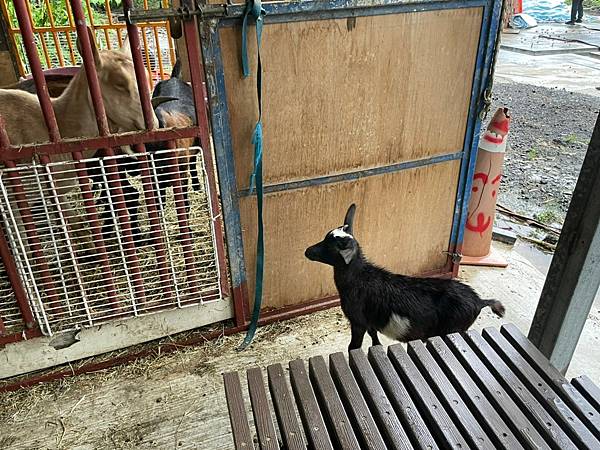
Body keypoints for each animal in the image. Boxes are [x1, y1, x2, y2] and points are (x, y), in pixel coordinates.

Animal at [304, 205, 506, 352]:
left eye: (330, 247)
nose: (307, 251)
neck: (360, 278)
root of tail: (480, 301)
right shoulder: (370, 319)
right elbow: (374, 337)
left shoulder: (358, 320)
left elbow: (354, 346)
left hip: (452, 330)